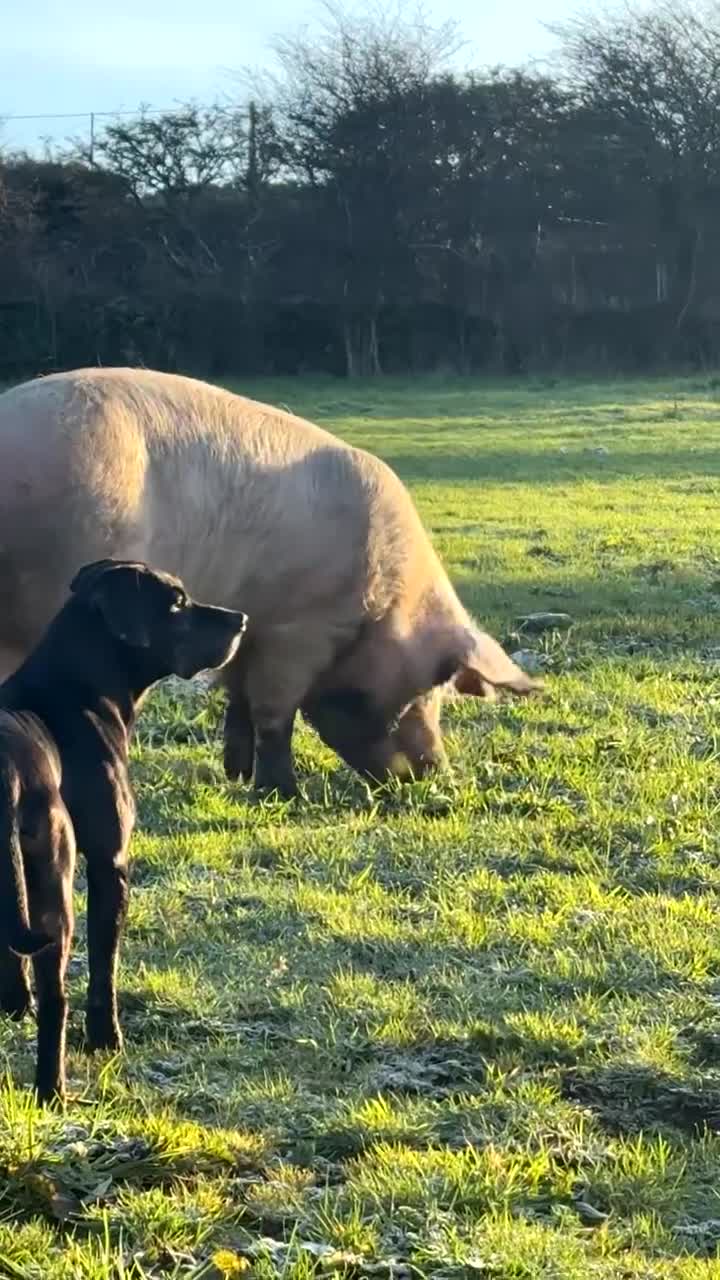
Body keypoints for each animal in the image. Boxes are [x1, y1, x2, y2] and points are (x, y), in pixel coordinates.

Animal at [0, 367, 539, 797]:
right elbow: (274, 713)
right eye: (428, 692)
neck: (382, 608)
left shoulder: (249, 625)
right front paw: (283, 793)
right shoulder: (298, 630)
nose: (438, 774)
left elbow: (238, 700)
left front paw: (235, 776)